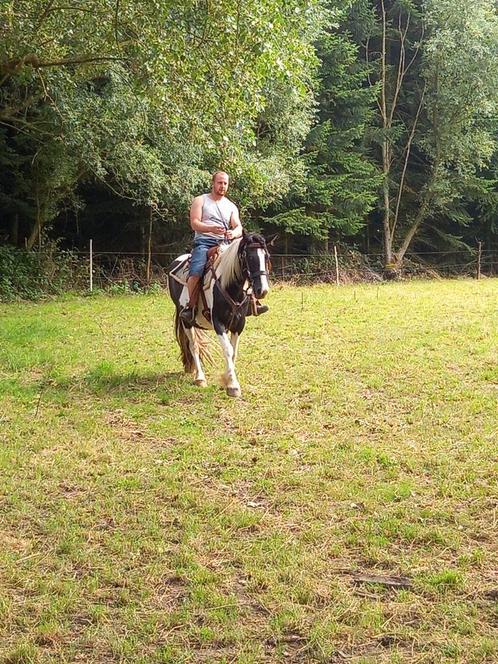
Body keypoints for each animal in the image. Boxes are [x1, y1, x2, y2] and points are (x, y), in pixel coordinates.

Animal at [168, 232, 272, 396]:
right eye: (249, 257)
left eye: (266, 256)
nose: (262, 290)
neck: (229, 286)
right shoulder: (218, 323)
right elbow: (227, 350)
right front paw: (233, 385)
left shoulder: (239, 324)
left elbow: (233, 351)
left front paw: (229, 380)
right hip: (186, 320)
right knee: (193, 346)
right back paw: (200, 378)